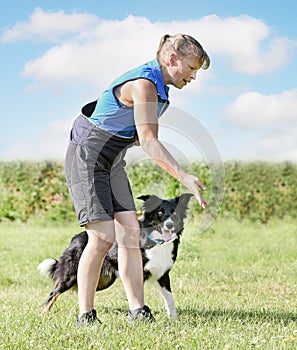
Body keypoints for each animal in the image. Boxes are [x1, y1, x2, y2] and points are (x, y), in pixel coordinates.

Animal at [38, 194, 192, 320]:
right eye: (160, 212)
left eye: (175, 213)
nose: (170, 225)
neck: (156, 240)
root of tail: (75, 238)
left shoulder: (163, 273)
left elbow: (169, 299)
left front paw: (174, 320)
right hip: (70, 276)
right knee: (53, 293)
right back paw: (43, 314)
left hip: (103, 280)